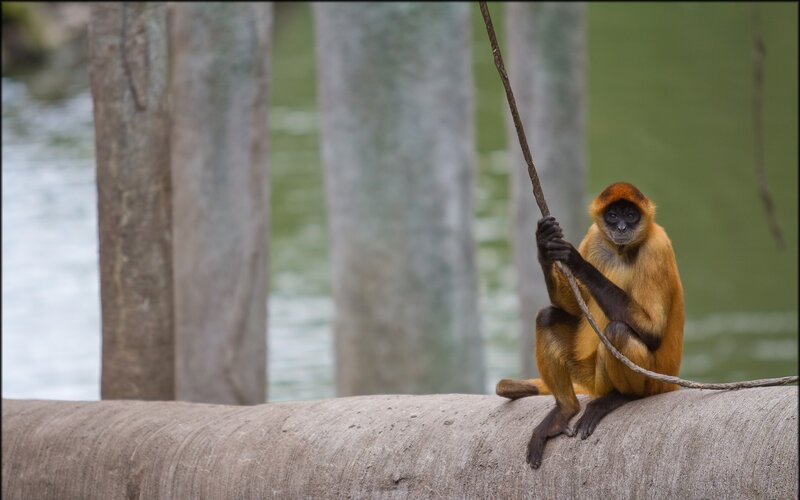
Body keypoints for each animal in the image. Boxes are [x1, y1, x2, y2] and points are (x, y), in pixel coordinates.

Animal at [496, 182, 684, 469]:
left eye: (631, 215)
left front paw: (575, 260)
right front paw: (544, 244)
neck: (622, 250)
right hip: (590, 373)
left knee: (617, 331)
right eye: (613, 216)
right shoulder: (595, 235)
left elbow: (652, 333)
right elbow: (571, 310)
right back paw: (566, 410)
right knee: (547, 316)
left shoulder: (657, 247)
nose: (622, 228)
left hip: (652, 381)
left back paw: (624, 397)